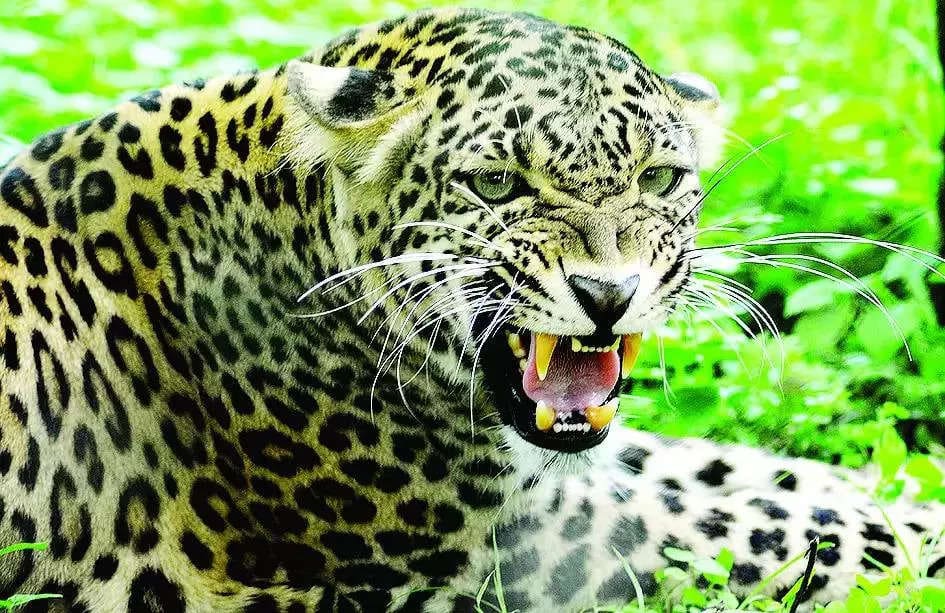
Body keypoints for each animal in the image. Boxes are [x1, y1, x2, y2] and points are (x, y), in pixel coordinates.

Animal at [0, 7, 942, 612]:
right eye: (495, 184)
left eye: (658, 179)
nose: (608, 295)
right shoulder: (529, 541)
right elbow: (772, 524)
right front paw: (912, 530)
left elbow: (726, 466)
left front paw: (874, 483)